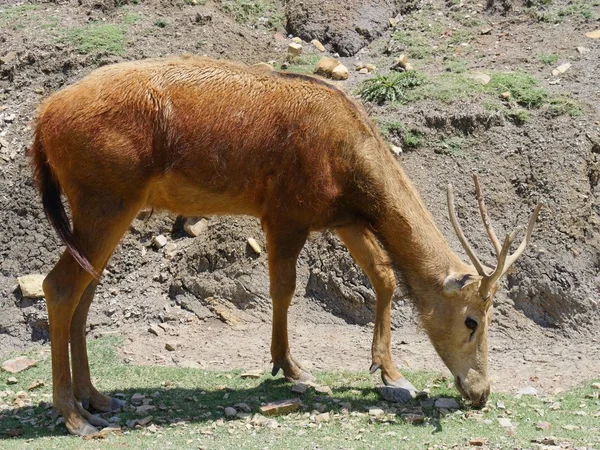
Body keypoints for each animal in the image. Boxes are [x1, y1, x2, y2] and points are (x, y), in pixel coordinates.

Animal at [29, 54, 544, 434]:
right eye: (473, 320)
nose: (480, 392)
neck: (350, 172)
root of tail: (41, 121)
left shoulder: (342, 217)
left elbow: (385, 276)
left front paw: (391, 372)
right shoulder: (285, 212)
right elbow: (284, 288)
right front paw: (289, 366)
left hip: (107, 206)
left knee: (85, 289)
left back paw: (96, 398)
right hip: (106, 196)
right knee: (60, 286)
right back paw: (71, 414)